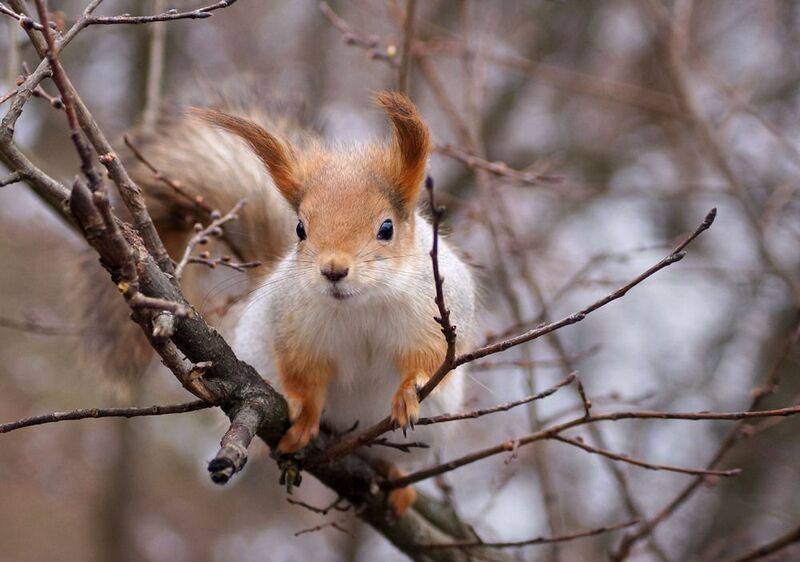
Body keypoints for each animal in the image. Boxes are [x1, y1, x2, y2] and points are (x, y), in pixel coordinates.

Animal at [84, 87, 478, 515]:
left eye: (387, 228)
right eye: (300, 229)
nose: (333, 270)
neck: (359, 305)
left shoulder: (435, 314)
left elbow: (429, 360)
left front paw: (408, 392)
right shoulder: (295, 329)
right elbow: (305, 375)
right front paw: (304, 418)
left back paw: (394, 478)